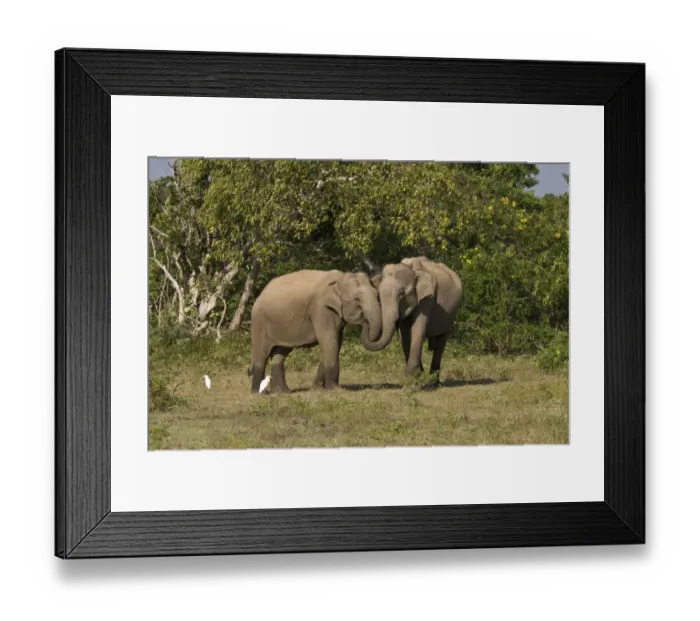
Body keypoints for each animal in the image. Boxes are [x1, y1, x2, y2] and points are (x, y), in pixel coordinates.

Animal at [247, 269, 382, 393]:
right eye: (357, 299)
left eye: (377, 295)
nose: (365, 321)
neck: (341, 277)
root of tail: (260, 295)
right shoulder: (321, 309)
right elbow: (329, 340)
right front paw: (335, 389)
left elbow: (336, 342)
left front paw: (318, 389)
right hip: (259, 322)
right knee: (262, 355)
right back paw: (258, 392)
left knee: (279, 354)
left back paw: (282, 392)